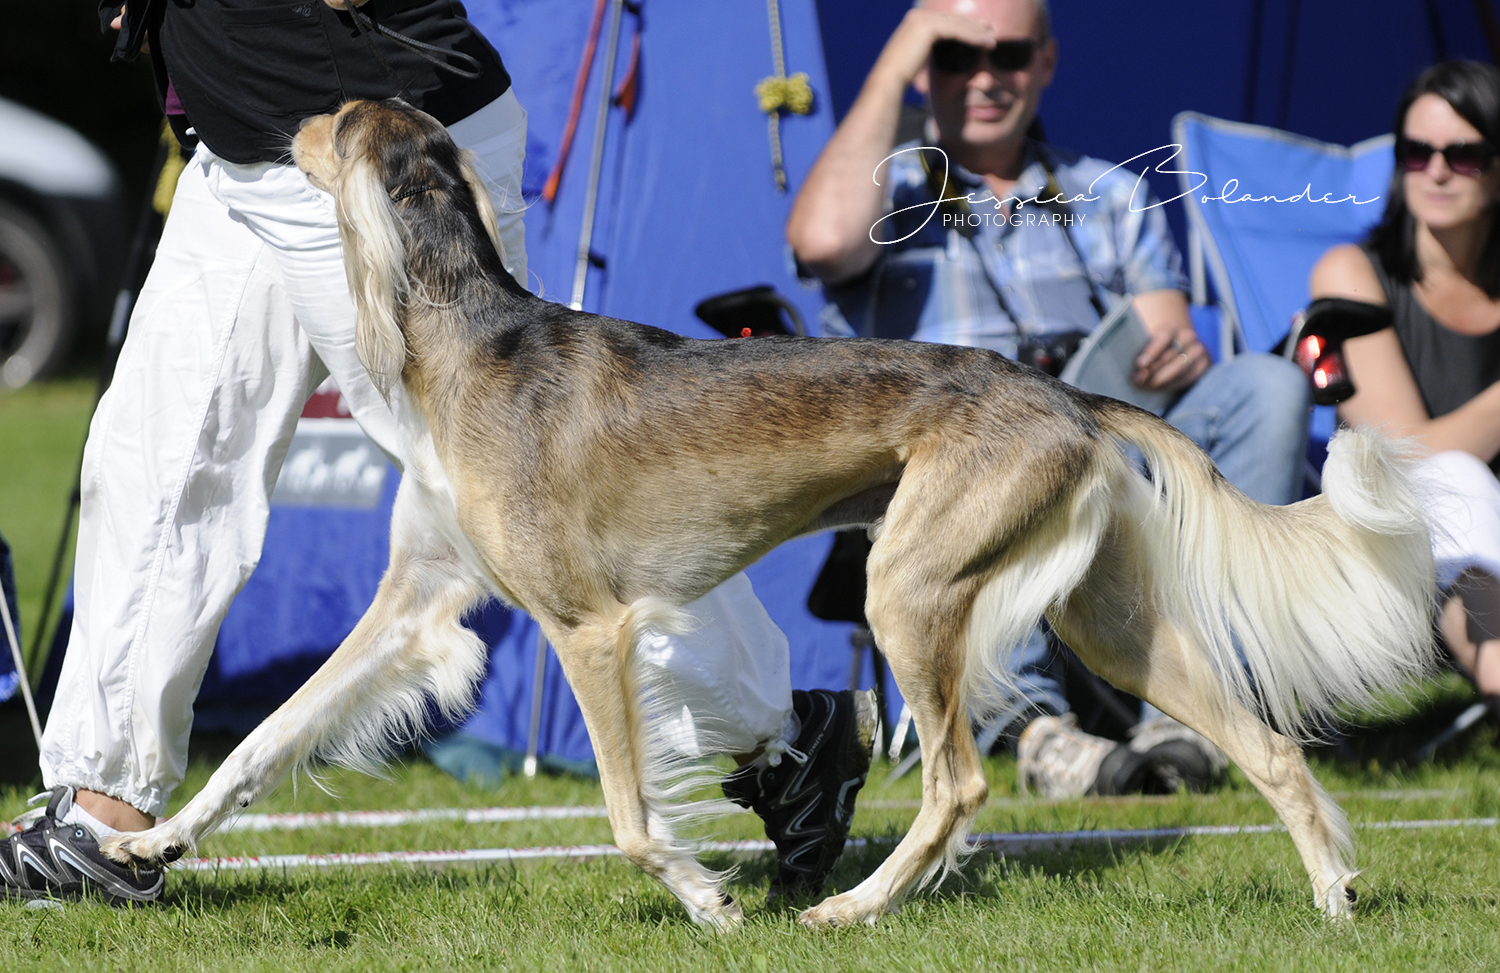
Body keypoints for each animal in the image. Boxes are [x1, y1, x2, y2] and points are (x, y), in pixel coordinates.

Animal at [99, 100, 1434, 923]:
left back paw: (852, 905)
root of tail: (1061, 388)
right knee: (1268, 745)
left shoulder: (589, 629)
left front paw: (707, 899)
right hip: (1108, 624)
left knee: (960, 785)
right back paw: (1333, 896)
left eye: (333, 124)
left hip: (911, 590)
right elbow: (264, 739)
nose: (260, 127)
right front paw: (151, 841)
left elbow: (633, 820)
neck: (474, 348)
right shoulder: (414, 604)